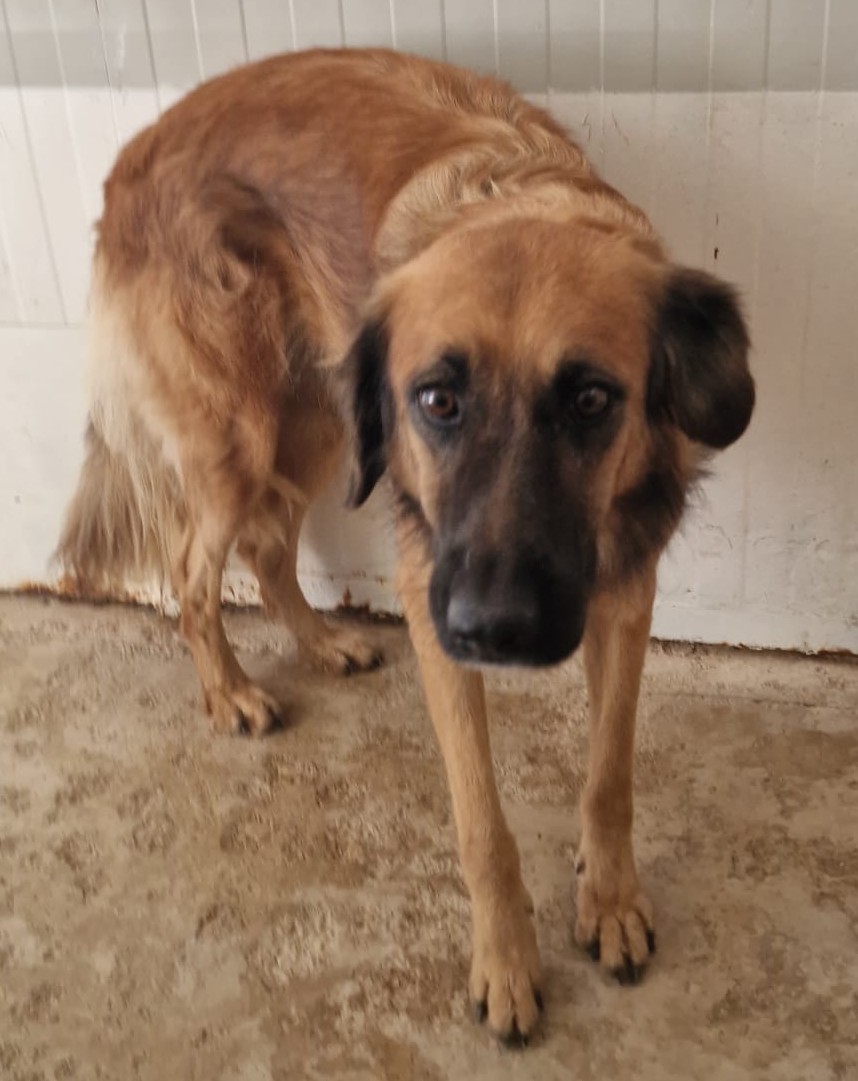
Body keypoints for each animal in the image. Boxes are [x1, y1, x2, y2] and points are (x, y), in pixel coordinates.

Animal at [57, 48, 754, 1045]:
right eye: (438, 399)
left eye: (592, 399)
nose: (496, 630)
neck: (520, 198)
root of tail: (132, 153)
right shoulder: (437, 610)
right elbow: (482, 825)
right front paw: (505, 962)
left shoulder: (624, 599)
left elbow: (608, 775)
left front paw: (611, 898)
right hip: (244, 435)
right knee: (194, 567)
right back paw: (230, 692)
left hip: (321, 417)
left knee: (268, 546)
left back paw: (322, 643)